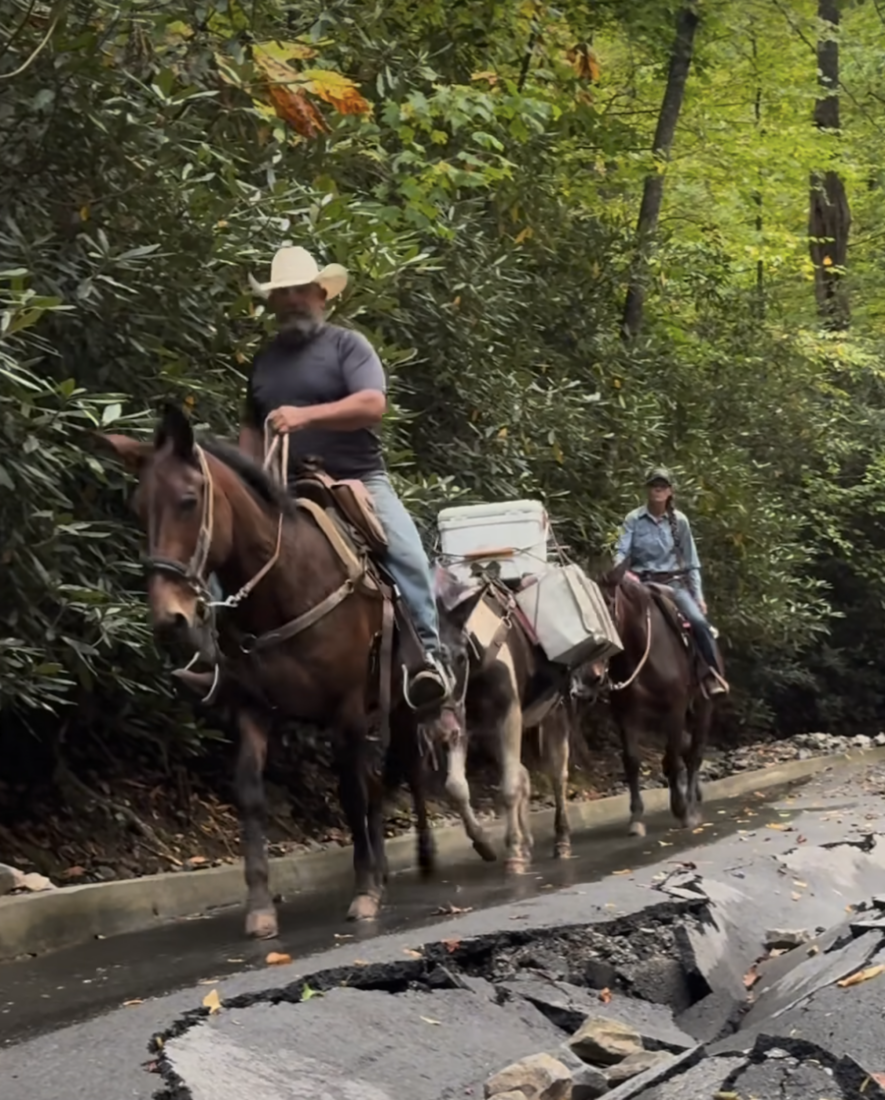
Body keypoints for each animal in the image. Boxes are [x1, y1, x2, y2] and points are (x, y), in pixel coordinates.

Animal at [100, 404, 430, 937]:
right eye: (137, 508)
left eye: (189, 500)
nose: (171, 619)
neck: (285, 584)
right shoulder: (252, 706)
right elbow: (251, 792)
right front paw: (259, 907)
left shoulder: (346, 710)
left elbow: (351, 795)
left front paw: (363, 894)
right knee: (378, 785)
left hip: (399, 706)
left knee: (387, 779)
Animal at [580, 558, 725, 831]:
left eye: (607, 607)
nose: (589, 676)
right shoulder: (625, 713)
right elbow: (632, 761)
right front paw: (636, 818)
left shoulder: (675, 709)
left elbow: (673, 759)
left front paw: (682, 809)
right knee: (687, 750)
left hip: (703, 708)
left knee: (694, 754)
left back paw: (692, 804)